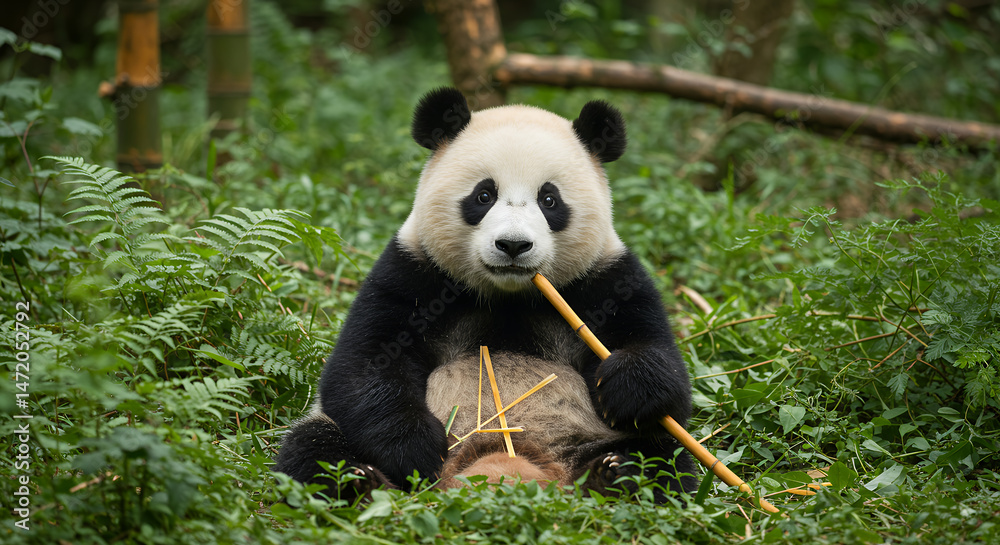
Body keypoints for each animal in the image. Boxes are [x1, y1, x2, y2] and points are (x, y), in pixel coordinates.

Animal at [274, 87, 697, 500]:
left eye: (549, 199)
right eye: (483, 196)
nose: (513, 245)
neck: (508, 295)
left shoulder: (607, 278)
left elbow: (663, 369)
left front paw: (626, 389)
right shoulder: (410, 273)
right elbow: (363, 366)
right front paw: (416, 449)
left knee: (665, 458)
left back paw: (615, 474)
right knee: (313, 445)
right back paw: (360, 481)